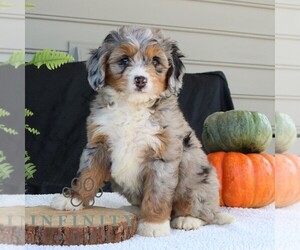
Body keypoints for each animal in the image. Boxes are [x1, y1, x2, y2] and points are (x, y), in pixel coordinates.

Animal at [51, 25, 234, 236]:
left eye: (155, 61)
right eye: (124, 60)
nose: (140, 80)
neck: (133, 105)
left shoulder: (162, 155)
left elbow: (156, 193)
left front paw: (154, 225)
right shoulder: (98, 144)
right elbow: (86, 175)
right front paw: (72, 199)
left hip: (195, 179)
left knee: (204, 211)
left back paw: (188, 219)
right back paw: (133, 210)